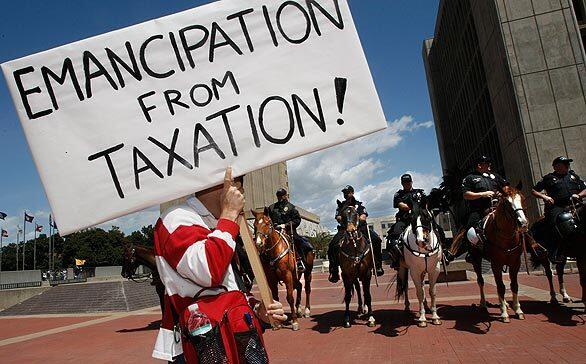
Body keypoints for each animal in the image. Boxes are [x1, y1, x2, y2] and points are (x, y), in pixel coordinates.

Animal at [450, 185, 528, 322]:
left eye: (522, 199)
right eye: (507, 203)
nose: (523, 223)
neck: (505, 235)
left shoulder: (515, 262)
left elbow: (514, 285)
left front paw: (518, 310)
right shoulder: (495, 263)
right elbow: (500, 286)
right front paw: (504, 313)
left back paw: (505, 303)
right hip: (476, 259)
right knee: (481, 281)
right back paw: (483, 304)